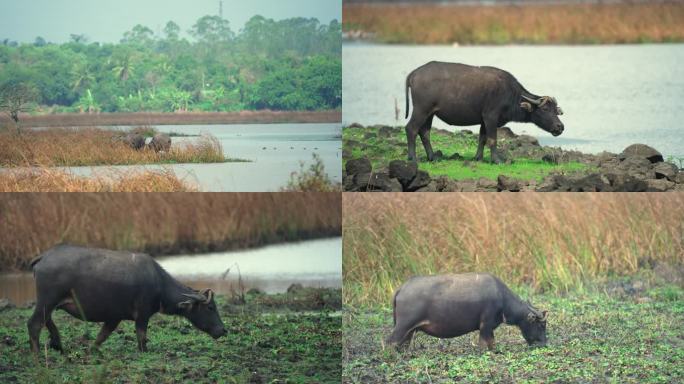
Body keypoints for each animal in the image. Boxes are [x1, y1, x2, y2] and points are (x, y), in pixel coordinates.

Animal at [27, 244, 227, 352]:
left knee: (46, 320)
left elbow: (101, 336)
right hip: (47, 300)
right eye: (211, 308)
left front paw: (92, 350)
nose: (223, 330)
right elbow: (141, 337)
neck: (159, 283)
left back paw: (57, 343)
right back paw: (38, 354)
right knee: (34, 324)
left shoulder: (114, 317)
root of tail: (44, 256)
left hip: (50, 303)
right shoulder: (142, 316)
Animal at [388, 272, 548, 352]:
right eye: (541, 325)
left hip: (409, 330)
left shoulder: (489, 327)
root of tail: (401, 288)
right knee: (390, 341)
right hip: (403, 326)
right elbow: (485, 343)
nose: (545, 343)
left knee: (402, 343)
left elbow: (491, 343)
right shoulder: (485, 325)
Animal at [404, 62, 564, 164]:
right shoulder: (491, 117)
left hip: (430, 113)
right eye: (545, 109)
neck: (510, 94)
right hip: (421, 110)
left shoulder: (483, 121)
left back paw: (432, 157)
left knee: (425, 132)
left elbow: (482, 138)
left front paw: (478, 158)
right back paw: (413, 158)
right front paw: (497, 160)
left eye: (556, 110)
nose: (560, 127)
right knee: (411, 129)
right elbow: (492, 139)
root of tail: (414, 73)